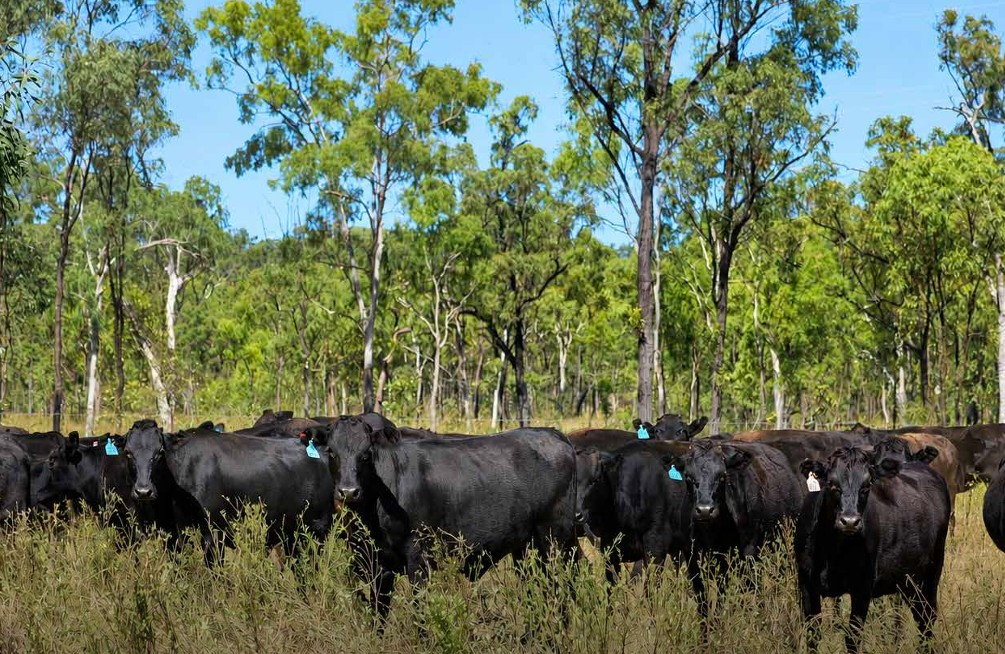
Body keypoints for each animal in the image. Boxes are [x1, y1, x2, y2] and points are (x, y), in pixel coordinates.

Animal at [124, 419, 334, 564]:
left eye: (159, 452)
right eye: (128, 453)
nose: (143, 491)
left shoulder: (213, 534)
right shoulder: (172, 537)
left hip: (316, 531)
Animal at [303, 416, 578, 617]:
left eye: (366, 453)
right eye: (331, 451)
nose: (349, 491)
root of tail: (553, 434)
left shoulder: (419, 559)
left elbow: (420, 612)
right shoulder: (377, 565)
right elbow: (379, 613)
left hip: (554, 541)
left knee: (562, 589)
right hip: (528, 546)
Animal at [666, 440, 805, 617]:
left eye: (722, 476)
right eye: (688, 477)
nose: (705, 510)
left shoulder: (745, 555)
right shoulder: (693, 560)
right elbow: (704, 603)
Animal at [796, 447, 950, 653]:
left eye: (866, 486)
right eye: (831, 484)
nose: (850, 521)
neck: (831, 551)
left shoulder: (862, 587)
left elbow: (852, 638)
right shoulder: (807, 585)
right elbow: (813, 636)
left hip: (931, 573)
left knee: (926, 618)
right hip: (907, 580)